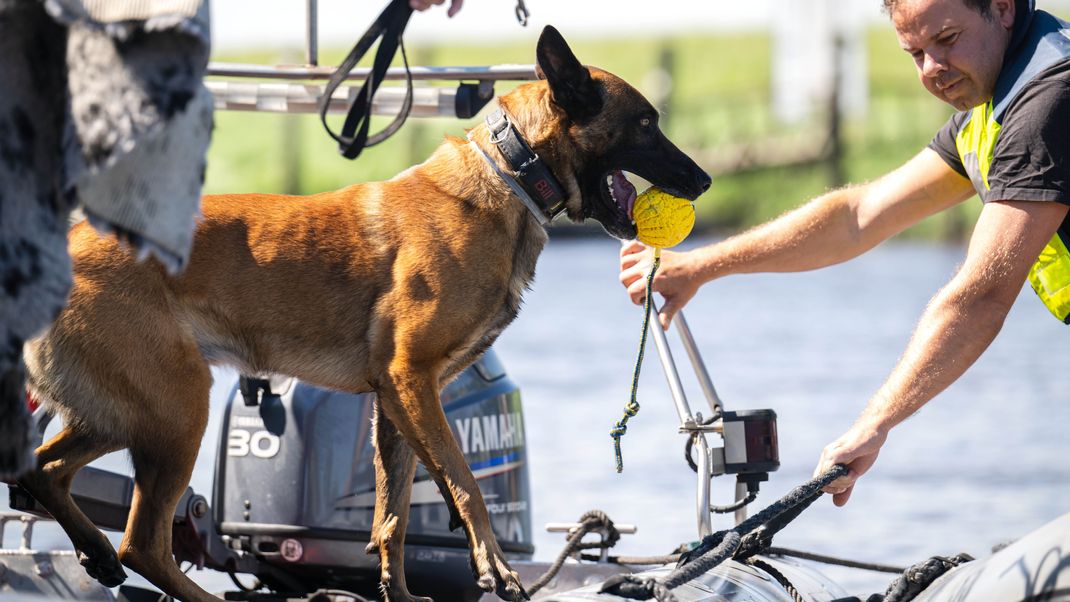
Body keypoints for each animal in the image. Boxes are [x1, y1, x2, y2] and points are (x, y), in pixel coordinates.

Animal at [18, 25, 710, 598]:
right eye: (645, 124)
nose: (703, 181)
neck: (510, 174)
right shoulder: (411, 380)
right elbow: (466, 486)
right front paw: (495, 570)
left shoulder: (395, 402)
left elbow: (393, 514)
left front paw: (399, 594)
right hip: (179, 407)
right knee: (142, 541)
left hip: (127, 411)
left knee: (41, 473)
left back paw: (95, 552)